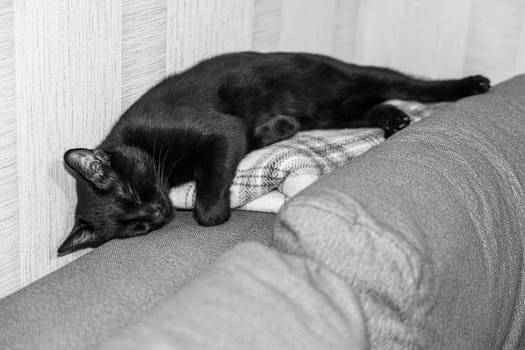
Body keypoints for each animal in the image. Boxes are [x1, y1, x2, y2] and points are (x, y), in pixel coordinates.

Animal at [58, 50, 492, 254]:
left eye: (134, 190)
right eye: (136, 227)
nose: (160, 214)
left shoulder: (221, 132)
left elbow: (206, 209)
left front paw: (214, 210)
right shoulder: (236, 135)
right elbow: (255, 136)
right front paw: (279, 127)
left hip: (355, 78)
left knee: (412, 84)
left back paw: (471, 84)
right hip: (336, 112)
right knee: (374, 107)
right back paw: (395, 119)